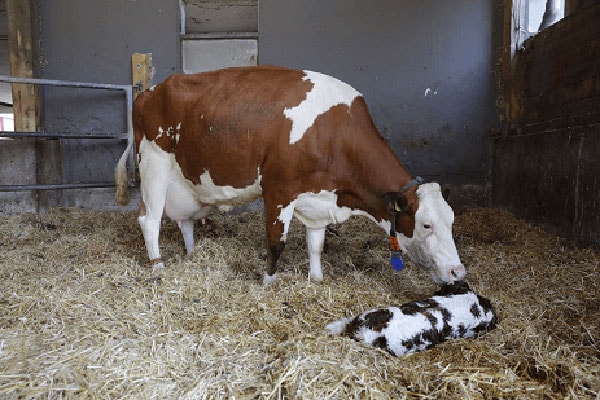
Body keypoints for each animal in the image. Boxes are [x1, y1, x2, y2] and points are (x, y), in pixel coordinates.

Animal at [115, 66, 466, 284]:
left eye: (452, 221)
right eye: (426, 224)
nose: (457, 272)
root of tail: (150, 91)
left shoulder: (319, 198)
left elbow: (316, 244)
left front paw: (317, 278)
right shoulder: (278, 189)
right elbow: (276, 243)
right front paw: (267, 282)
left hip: (184, 182)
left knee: (184, 220)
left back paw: (191, 255)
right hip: (154, 167)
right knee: (149, 220)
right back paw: (158, 267)